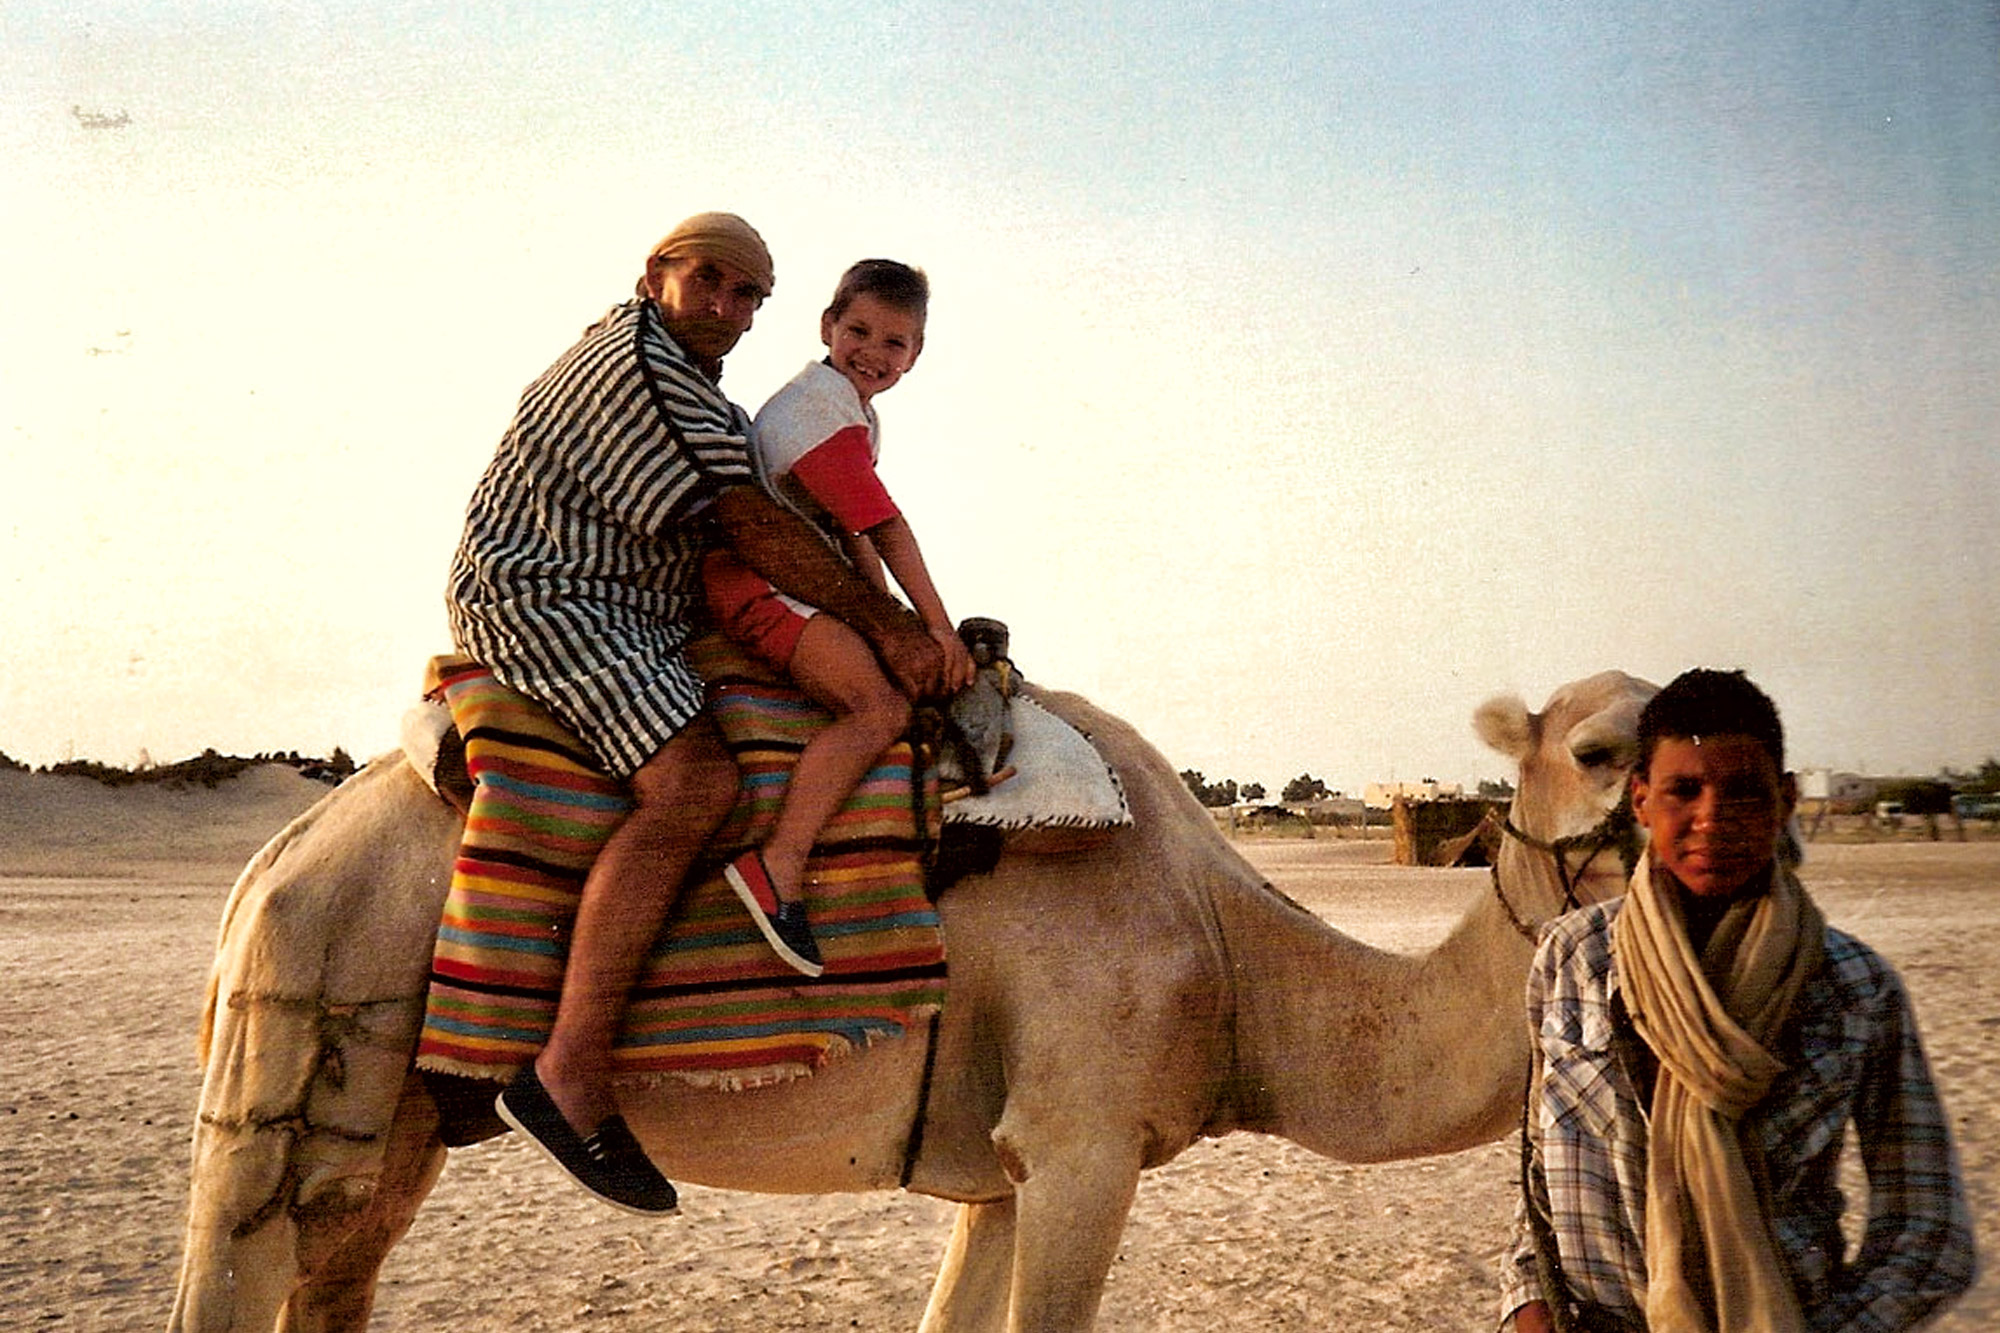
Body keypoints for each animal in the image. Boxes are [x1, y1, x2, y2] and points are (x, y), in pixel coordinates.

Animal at [168, 668, 1640, 1320]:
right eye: (1602, 745)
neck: (1236, 966)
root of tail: (272, 860)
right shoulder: (1084, 1143)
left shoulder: (1005, 1166)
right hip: (311, 1008)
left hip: (409, 1119)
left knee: (336, 1268)